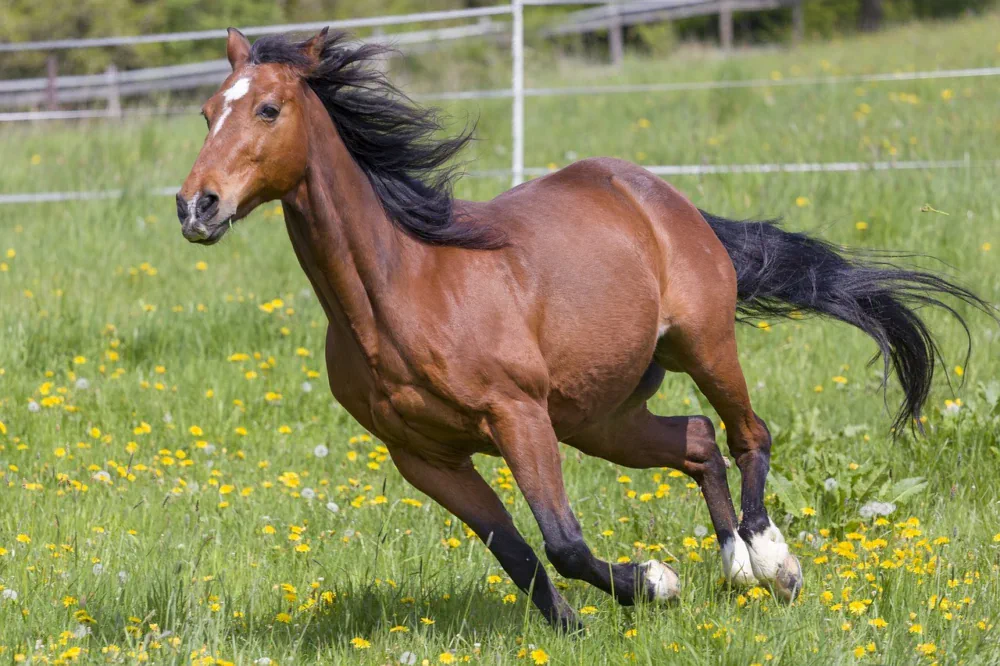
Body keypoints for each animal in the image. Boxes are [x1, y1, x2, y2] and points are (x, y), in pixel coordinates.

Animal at [176, 28, 992, 629]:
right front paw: (575, 625)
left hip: (700, 347)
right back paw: (733, 570)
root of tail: (661, 195)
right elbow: (516, 552)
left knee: (747, 434)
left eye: (267, 110)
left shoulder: (517, 416)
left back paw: (773, 565)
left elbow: (562, 541)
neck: (402, 291)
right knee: (698, 443)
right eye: (210, 111)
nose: (197, 206)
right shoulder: (424, 456)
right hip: (600, 416)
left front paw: (656, 582)